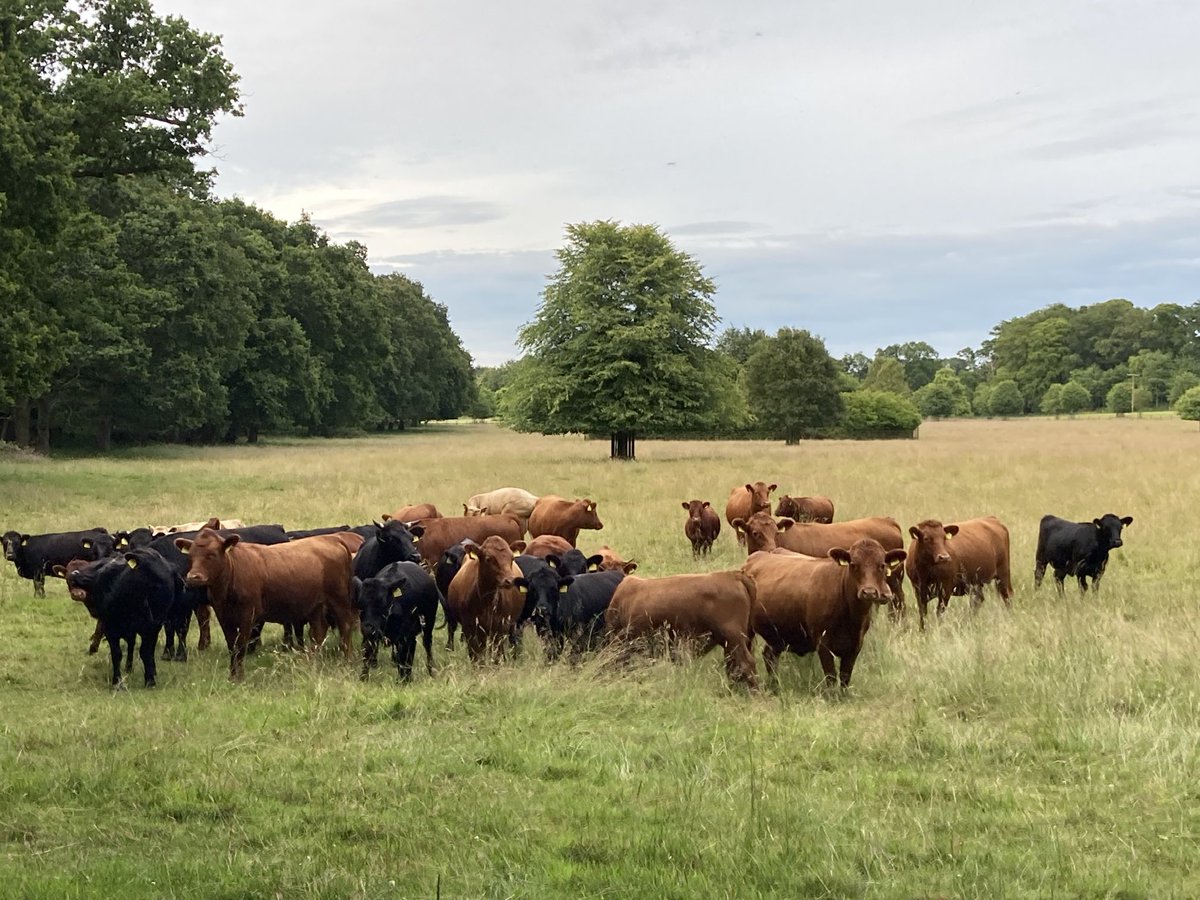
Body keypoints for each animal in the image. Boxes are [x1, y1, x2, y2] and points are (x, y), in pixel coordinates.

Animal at [63, 547, 181, 689]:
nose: (74, 575)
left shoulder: (151, 628)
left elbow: (146, 652)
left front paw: (150, 680)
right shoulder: (110, 628)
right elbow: (117, 654)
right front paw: (117, 682)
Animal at [174, 529, 358, 680]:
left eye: (212, 554)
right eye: (190, 556)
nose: (194, 577)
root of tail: (332, 539)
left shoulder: (248, 615)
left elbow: (241, 646)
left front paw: (240, 677)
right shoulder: (223, 616)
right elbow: (232, 646)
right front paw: (232, 676)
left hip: (339, 599)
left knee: (345, 627)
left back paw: (348, 661)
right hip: (315, 605)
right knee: (319, 631)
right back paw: (311, 661)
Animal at [743, 540, 906, 690]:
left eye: (882, 565)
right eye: (854, 564)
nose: (869, 592)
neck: (851, 618)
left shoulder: (855, 646)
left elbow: (845, 677)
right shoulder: (823, 644)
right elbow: (831, 677)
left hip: (777, 636)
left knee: (769, 656)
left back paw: (774, 685)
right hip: (748, 632)